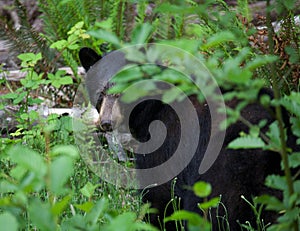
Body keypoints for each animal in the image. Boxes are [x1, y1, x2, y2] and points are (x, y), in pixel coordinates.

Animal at [78, 47, 296, 230]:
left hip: (222, 167)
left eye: (124, 92)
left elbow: (159, 193)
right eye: (101, 93)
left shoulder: (166, 142)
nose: (106, 122)